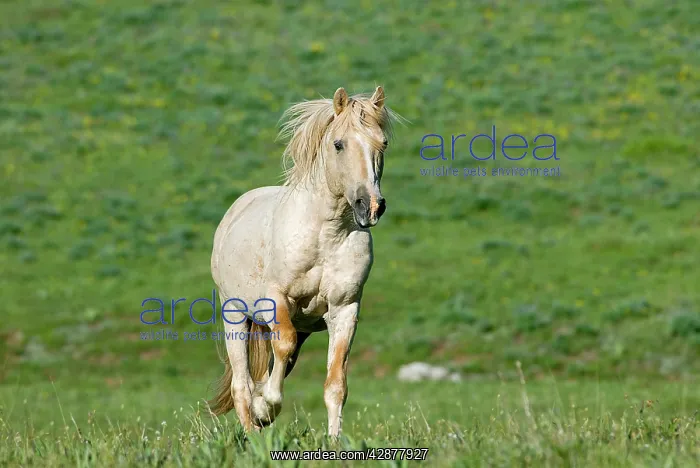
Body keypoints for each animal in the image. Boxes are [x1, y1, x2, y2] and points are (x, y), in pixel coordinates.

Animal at [208, 86, 400, 437]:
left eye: (383, 143)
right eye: (338, 144)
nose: (370, 206)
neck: (325, 236)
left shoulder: (344, 309)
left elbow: (336, 384)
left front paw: (335, 441)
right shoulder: (277, 300)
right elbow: (282, 346)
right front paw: (266, 406)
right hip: (235, 316)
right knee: (242, 384)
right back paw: (253, 429)